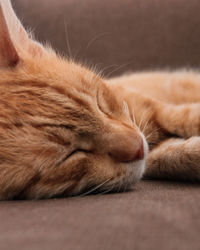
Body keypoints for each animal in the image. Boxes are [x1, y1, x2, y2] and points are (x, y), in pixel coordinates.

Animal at [0, 0, 199, 199]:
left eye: (98, 103)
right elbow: (172, 155)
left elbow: (182, 116)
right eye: (71, 154)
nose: (139, 148)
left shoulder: (153, 107)